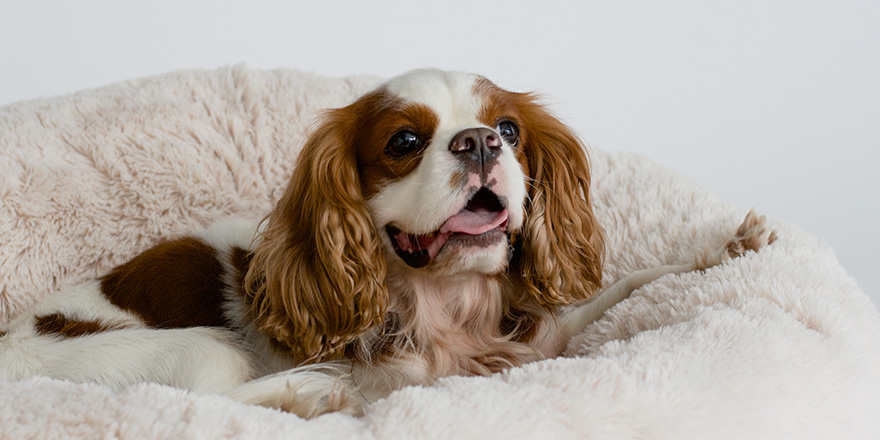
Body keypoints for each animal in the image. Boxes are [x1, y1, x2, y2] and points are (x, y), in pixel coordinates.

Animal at [0, 69, 772, 416]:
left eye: (510, 129)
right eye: (404, 142)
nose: (479, 142)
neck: (449, 300)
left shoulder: (541, 336)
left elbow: (627, 284)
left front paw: (722, 249)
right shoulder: (410, 382)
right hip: (196, 348)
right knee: (213, 402)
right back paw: (310, 391)